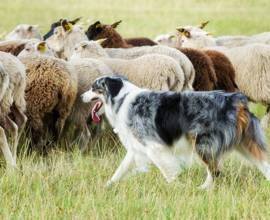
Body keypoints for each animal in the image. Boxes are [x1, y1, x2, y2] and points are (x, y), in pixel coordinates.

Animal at [82, 75, 270, 189]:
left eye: (93, 88)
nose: (81, 97)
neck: (121, 99)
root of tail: (235, 100)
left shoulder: (154, 146)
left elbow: (168, 171)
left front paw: (175, 187)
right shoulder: (137, 147)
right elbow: (120, 170)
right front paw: (107, 186)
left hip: (203, 143)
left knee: (215, 171)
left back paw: (203, 189)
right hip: (245, 143)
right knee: (263, 163)